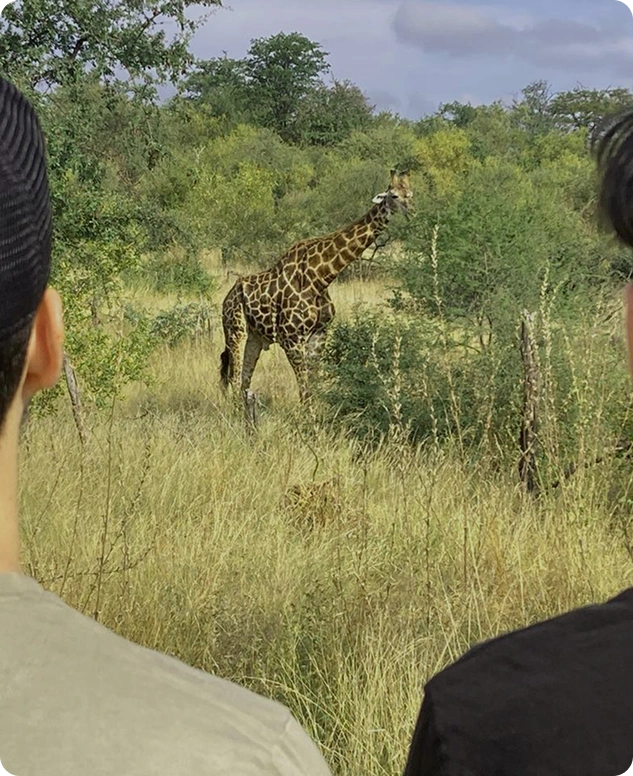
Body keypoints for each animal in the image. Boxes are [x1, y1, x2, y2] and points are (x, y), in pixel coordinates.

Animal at [220, 169, 414, 404]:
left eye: (411, 194)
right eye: (394, 195)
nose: (413, 212)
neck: (320, 277)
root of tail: (227, 298)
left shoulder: (319, 334)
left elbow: (313, 386)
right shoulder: (291, 338)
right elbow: (304, 390)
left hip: (255, 336)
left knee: (244, 380)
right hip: (235, 330)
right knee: (234, 377)